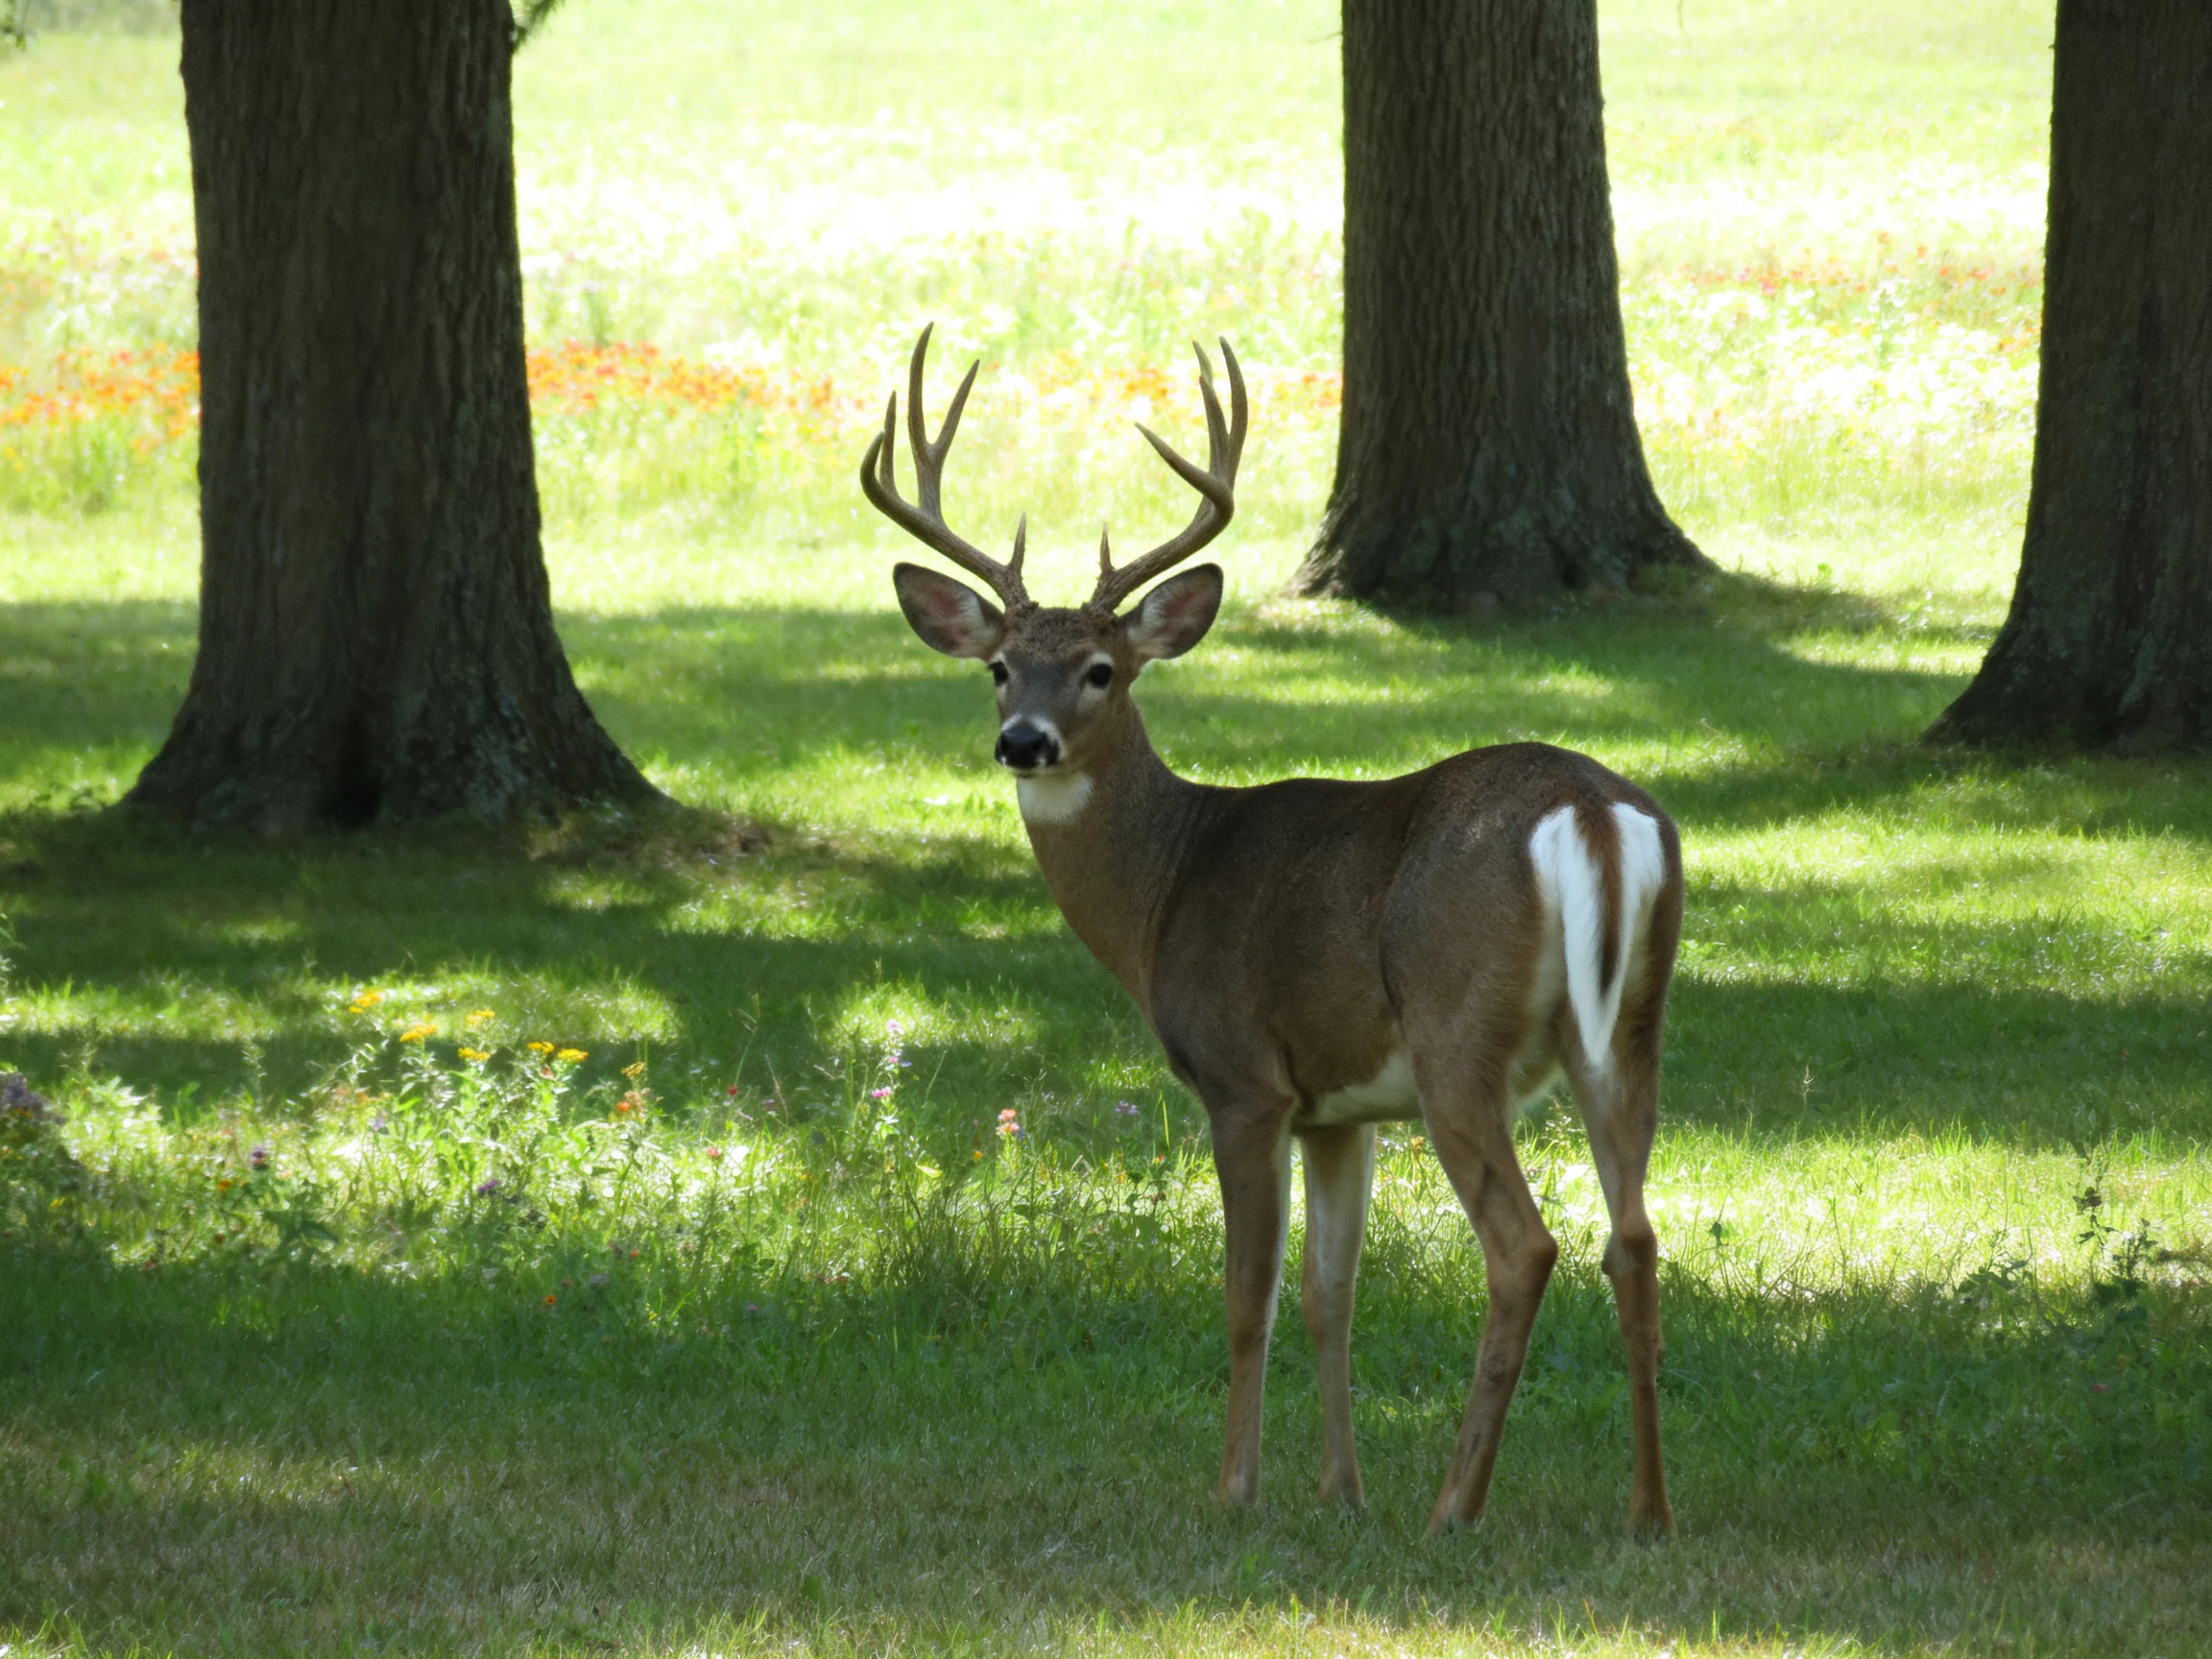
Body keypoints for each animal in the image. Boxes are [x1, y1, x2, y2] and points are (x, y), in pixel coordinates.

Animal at [860, 326, 1682, 1535]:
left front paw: (1235, 1490)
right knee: (1634, 1237)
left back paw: (1456, 1507)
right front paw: (1340, 1491)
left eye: (1101, 669)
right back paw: (1645, 1512)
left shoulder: (1244, 1081)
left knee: (1525, 1246)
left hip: (1459, 1033)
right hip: (1627, 1031)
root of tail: (1588, 813)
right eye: (1001, 667)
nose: (1024, 742)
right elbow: (1330, 1294)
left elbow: (1247, 1294)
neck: (1167, 886)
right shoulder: (1340, 1108)